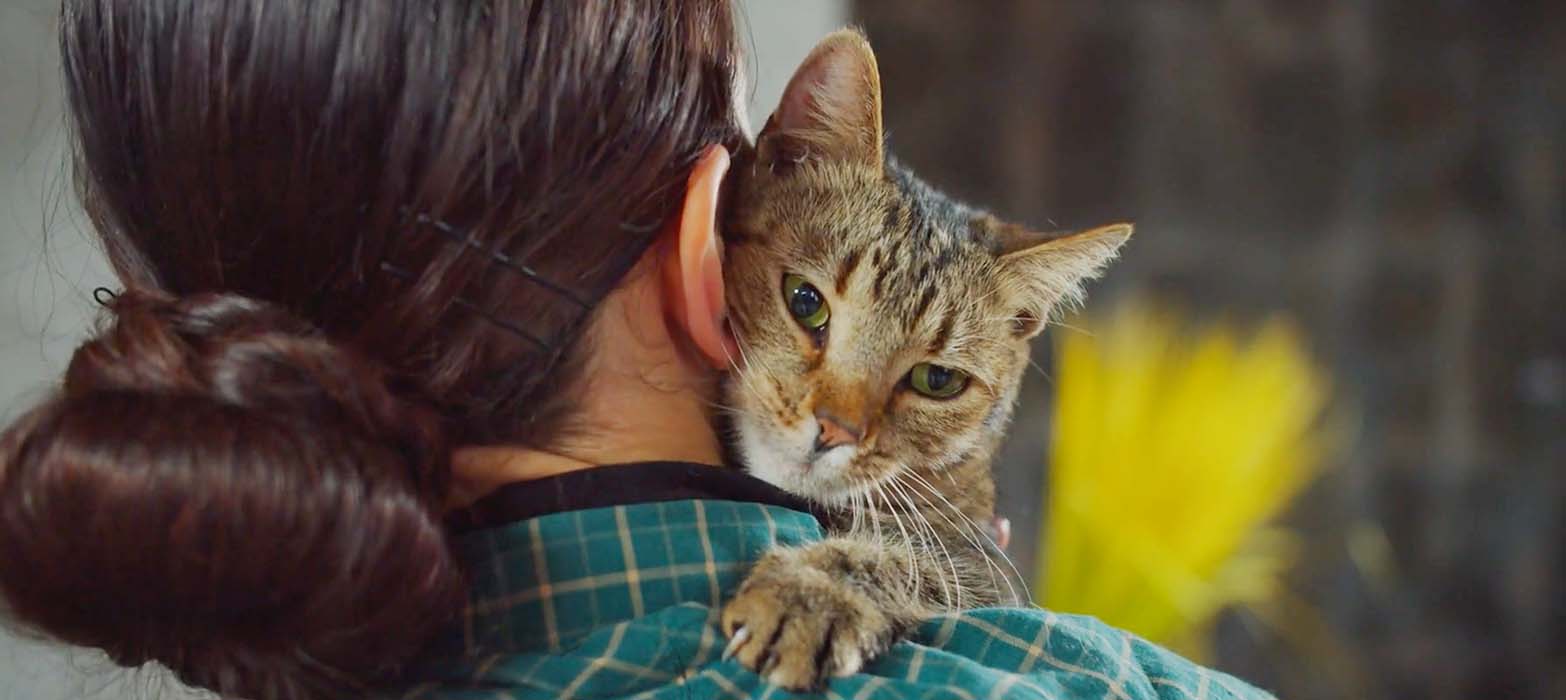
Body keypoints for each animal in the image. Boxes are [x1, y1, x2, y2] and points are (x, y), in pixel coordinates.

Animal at [717, 27, 1133, 689]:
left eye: (936, 380)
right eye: (805, 301)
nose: (834, 429)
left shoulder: (983, 568)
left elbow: (907, 560)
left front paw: (810, 593)